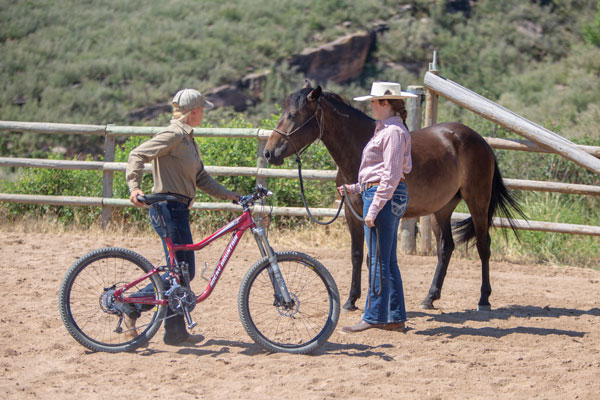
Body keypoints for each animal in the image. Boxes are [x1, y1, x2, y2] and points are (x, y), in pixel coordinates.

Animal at [264, 82, 524, 312]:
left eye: (293, 115)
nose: (268, 152)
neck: (360, 149)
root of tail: (481, 141)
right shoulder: (351, 211)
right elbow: (357, 255)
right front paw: (351, 300)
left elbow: (374, 256)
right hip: (442, 208)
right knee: (446, 247)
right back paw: (430, 298)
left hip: (478, 202)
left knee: (483, 246)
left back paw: (483, 299)